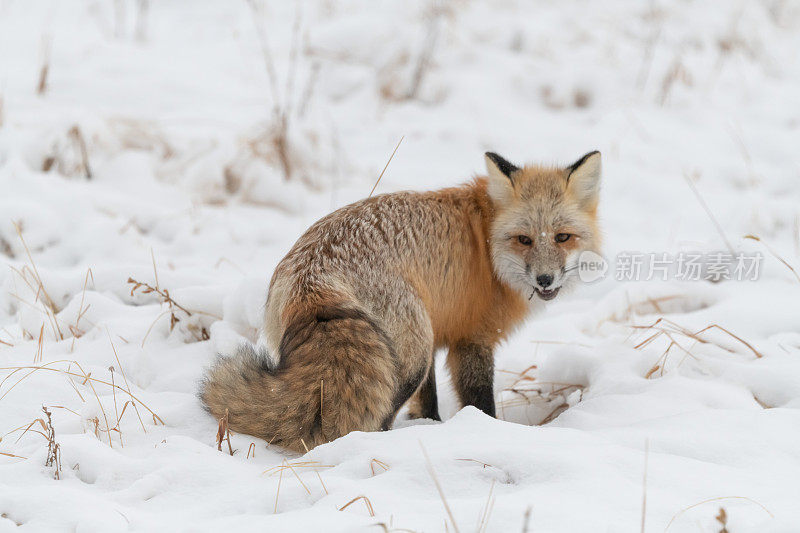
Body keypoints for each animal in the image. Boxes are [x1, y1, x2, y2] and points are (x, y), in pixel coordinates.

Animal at [200, 150, 600, 448]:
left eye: (563, 237)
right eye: (524, 239)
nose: (545, 279)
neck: (487, 245)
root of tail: (311, 275)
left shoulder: (440, 331)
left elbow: (428, 400)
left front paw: (429, 424)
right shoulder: (471, 340)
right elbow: (480, 401)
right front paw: (484, 431)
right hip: (409, 356)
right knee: (376, 417)